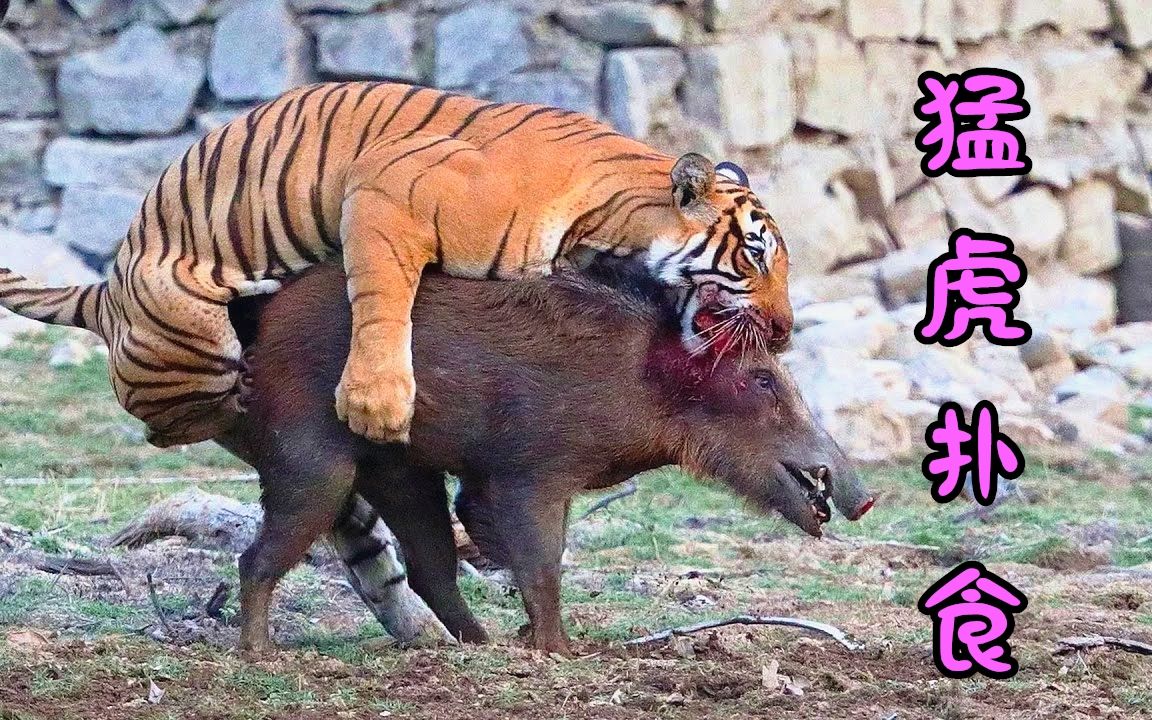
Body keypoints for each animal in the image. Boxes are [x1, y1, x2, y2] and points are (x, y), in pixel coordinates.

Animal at [0, 81, 793, 448]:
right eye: (755, 255)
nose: (785, 332)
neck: (605, 223)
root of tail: (107, 288)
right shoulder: (385, 190)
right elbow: (383, 301)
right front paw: (375, 405)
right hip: (192, 347)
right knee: (171, 426)